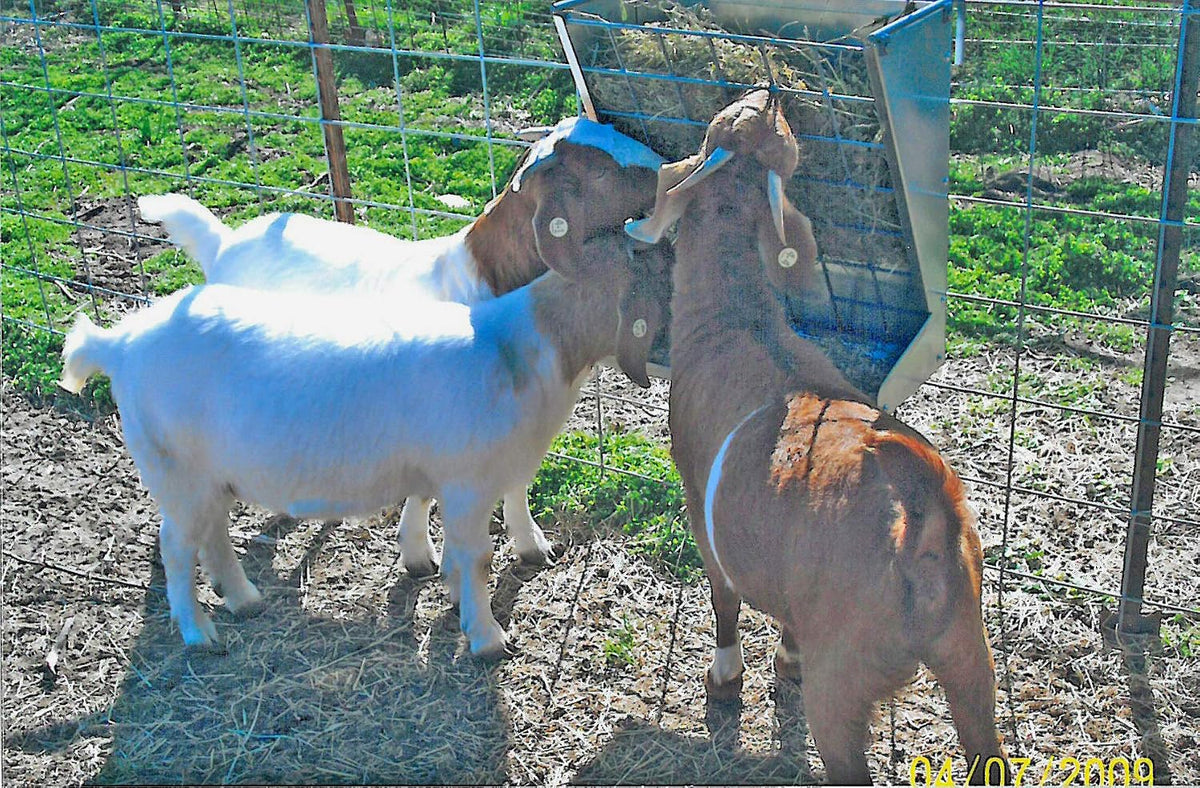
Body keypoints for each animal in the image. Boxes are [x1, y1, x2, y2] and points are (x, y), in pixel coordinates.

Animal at [61, 187, 672, 661]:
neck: (522, 349)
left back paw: (244, 599)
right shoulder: (468, 482)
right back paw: (199, 632)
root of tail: (118, 344)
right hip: (174, 470)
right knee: (174, 546)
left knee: (210, 533)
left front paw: (450, 593)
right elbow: (477, 557)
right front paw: (487, 638)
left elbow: (457, 549)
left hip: (209, 474)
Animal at [137, 116, 665, 579]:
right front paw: (418, 556)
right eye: (599, 171)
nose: (666, 169)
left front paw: (531, 545)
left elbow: (517, 481)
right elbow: (424, 492)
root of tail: (223, 244)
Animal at [626, 90, 1006, 785]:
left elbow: (724, 599)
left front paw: (725, 679)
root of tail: (922, 528)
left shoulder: (701, 510)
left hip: (846, 682)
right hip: (970, 655)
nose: (769, 93)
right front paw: (786, 659)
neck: (736, 318)